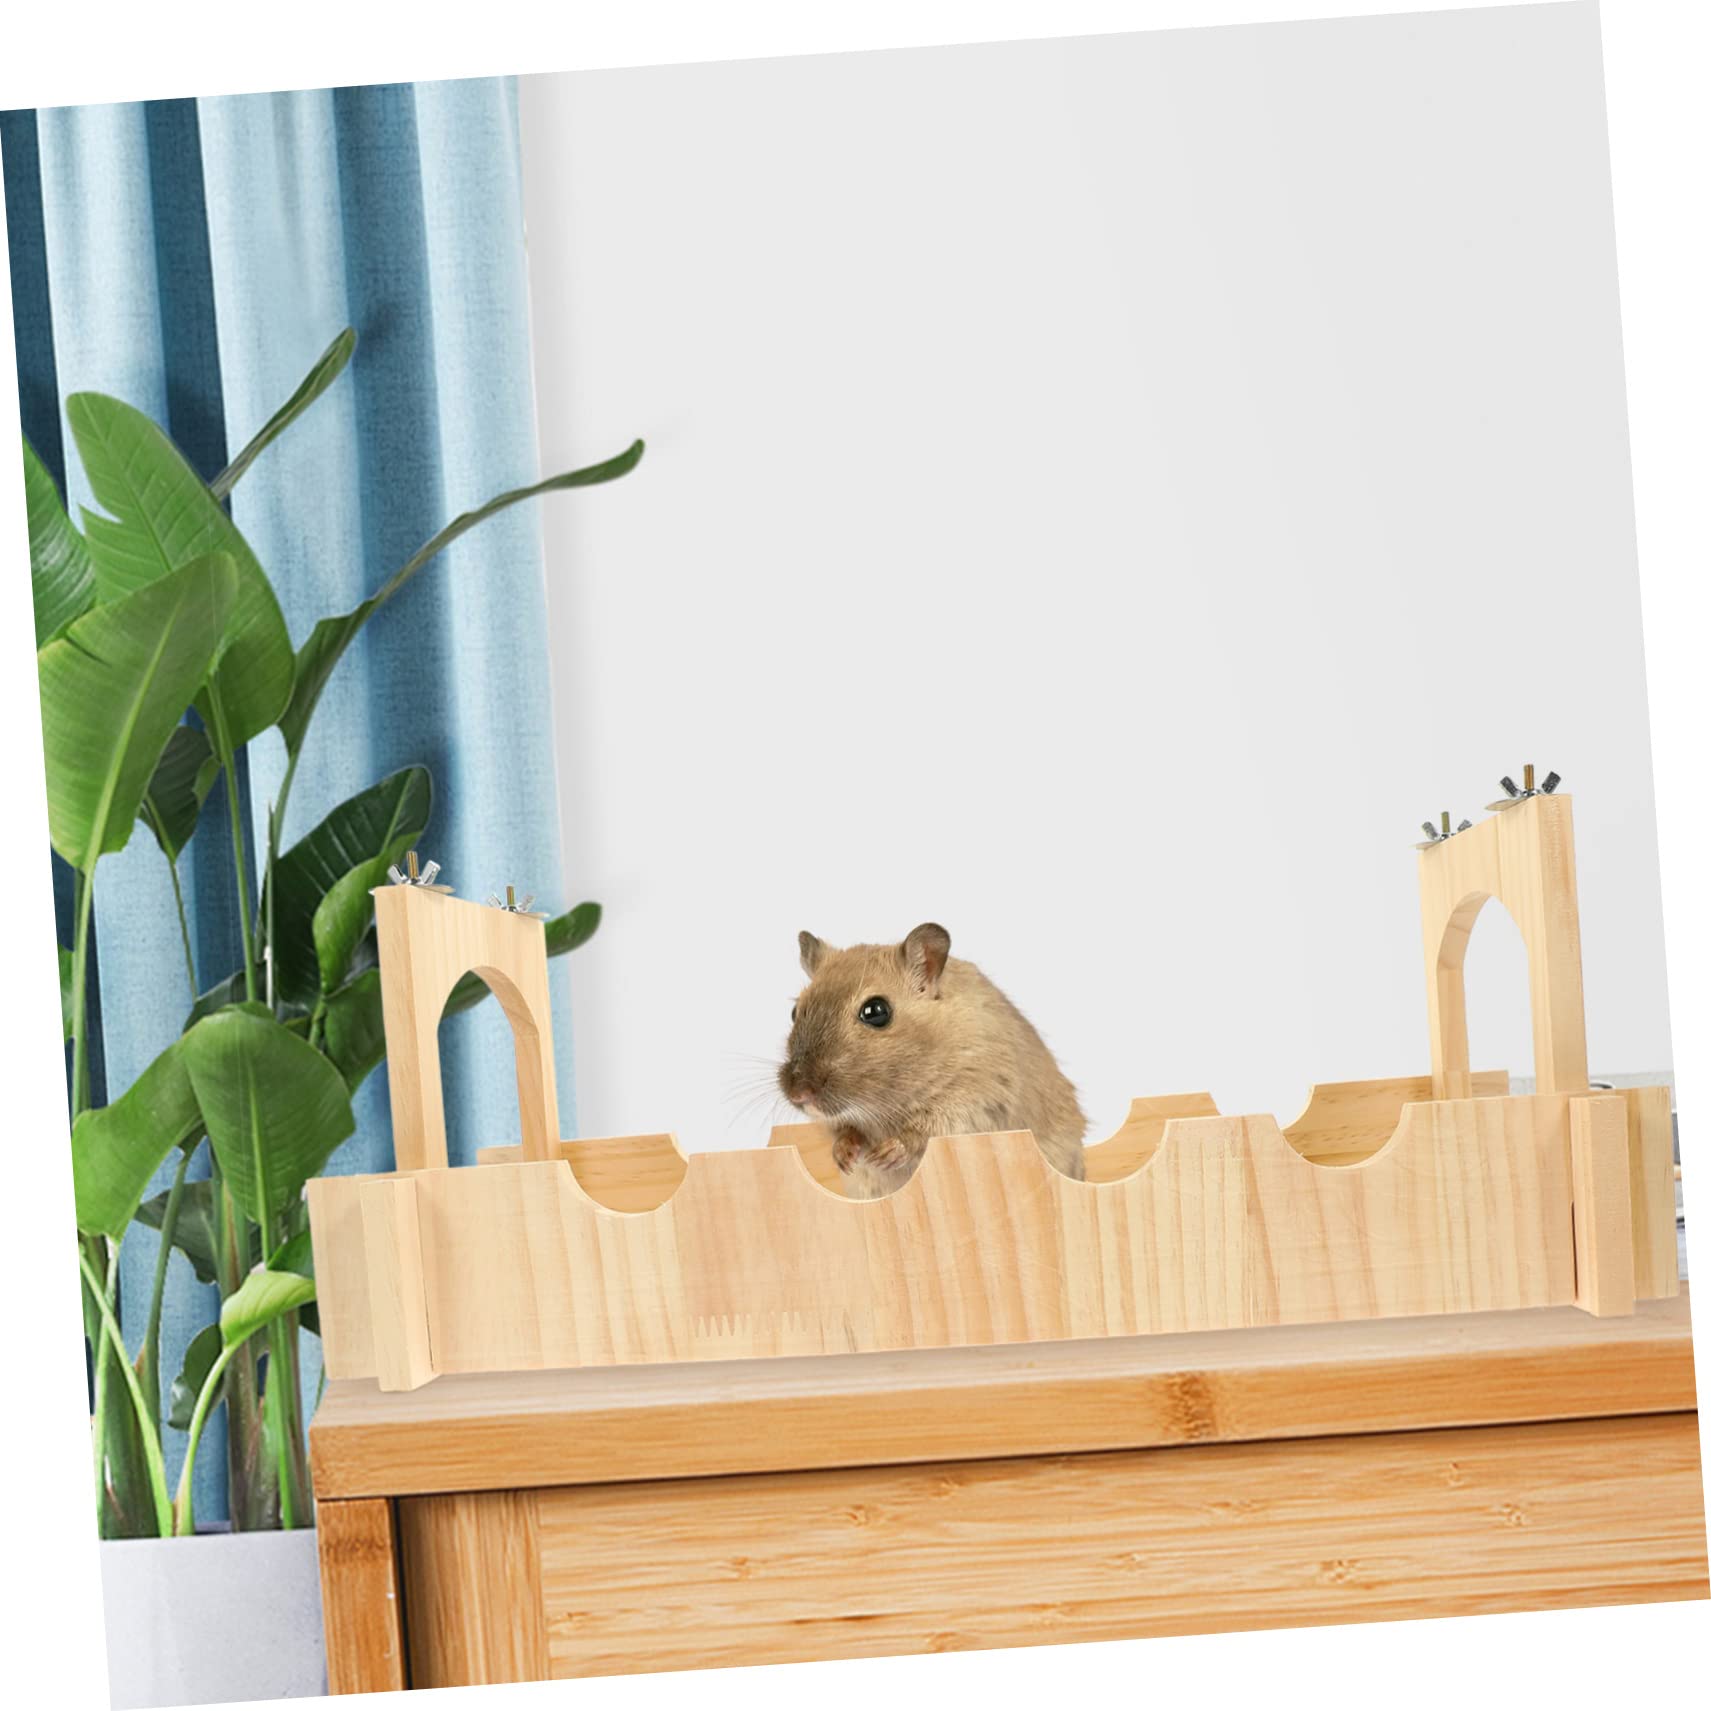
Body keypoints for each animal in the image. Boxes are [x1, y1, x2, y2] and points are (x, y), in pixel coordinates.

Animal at [777, 922, 1088, 1200]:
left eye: (876, 1011)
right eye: (794, 1012)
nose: (799, 1094)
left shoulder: (976, 1099)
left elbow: (923, 1132)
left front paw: (884, 1154)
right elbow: (843, 1131)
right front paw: (844, 1157)